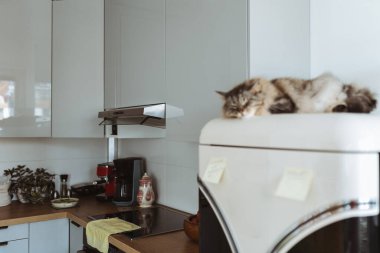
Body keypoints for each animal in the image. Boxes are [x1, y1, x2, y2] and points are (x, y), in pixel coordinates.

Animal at [217, 73, 378, 118]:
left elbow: (269, 108)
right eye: (234, 106)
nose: (241, 111)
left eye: (246, 102)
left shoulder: (285, 102)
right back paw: (339, 108)